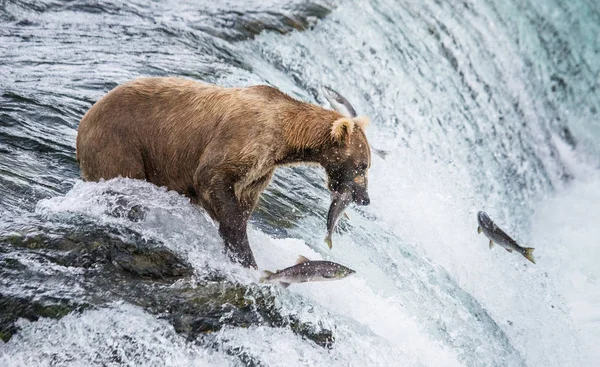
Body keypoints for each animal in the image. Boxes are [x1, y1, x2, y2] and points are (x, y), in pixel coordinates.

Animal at [76, 77, 370, 268]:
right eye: (363, 165)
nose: (365, 198)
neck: (287, 139)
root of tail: (84, 121)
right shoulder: (245, 138)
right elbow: (212, 179)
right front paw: (244, 254)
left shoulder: (260, 170)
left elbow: (243, 200)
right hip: (120, 144)